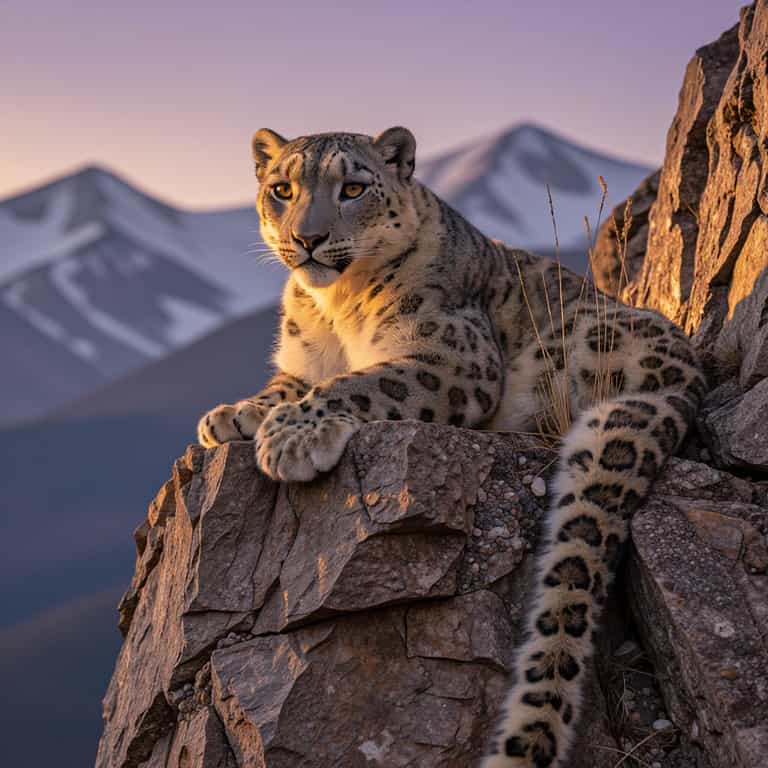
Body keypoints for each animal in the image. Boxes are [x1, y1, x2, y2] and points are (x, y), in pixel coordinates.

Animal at [197, 126, 706, 767]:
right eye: (282, 190)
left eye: (353, 188)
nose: (306, 239)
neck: (332, 307)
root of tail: (687, 380)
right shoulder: (300, 361)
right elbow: (288, 383)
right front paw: (231, 416)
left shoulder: (451, 361)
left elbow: (360, 383)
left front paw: (291, 435)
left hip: (575, 342)